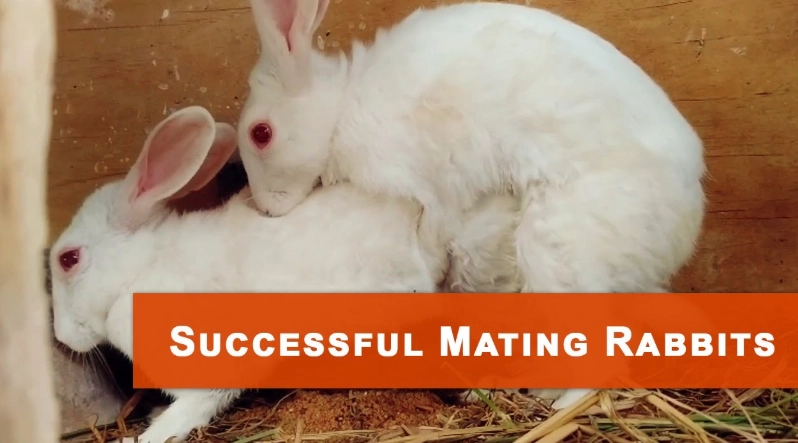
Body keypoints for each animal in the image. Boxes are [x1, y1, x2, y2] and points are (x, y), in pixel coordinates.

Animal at [50, 105, 524, 443]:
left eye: (68, 259)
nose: (61, 337)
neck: (142, 269)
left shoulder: (210, 371)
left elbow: (193, 409)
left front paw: (146, 435)